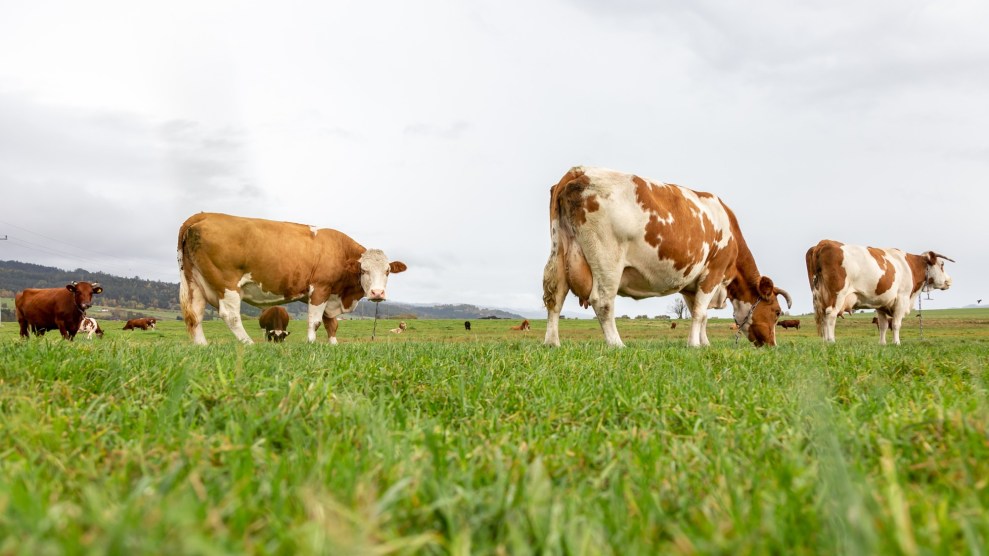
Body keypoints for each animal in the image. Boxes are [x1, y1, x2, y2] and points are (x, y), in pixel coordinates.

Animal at [178, 212, 406, 344]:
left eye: (387, 271)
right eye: (363, 270)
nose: (377, 293)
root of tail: (204, 215)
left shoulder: (331, 294)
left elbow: (332, 324)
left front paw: (333, 345)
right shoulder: (320, 288)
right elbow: (315, 322)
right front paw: (311, 344)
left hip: (194, 281)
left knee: (195, 315)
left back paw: (202, 346)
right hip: (226, 283)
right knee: (231, 315)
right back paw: (249, 344)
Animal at [544, 166, 792, 348]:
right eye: (777, 312)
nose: (772, 345)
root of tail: (580, 170)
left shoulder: (692, 284)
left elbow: (700, 315)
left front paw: (704, 343)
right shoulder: (713, 272)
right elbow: (700, 313)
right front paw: (694, 345)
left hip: (560, 251)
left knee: (555, 296)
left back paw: (552, 343)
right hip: (607, 259)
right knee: (603, 301)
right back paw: (617, 344)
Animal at [808, 239, 952, 344]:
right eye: (942, 264)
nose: (949, 280)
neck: (910, 266)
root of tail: (825, 242)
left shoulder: (882, 304)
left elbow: (883, 325)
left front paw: (882, 343)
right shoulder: (902, 298)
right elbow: (896, 324)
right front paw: (896, 343)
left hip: (821, 296)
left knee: (823, 316)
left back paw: (825, 341)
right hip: (837, 295)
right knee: (831, 315)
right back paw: (831, 341)